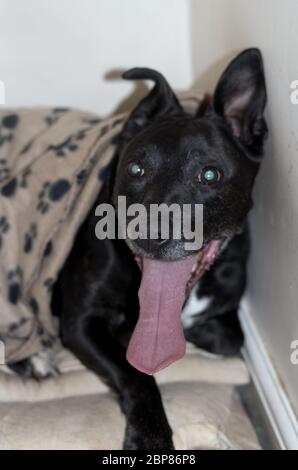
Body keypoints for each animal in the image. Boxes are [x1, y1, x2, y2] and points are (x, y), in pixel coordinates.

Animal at [15, 47, 268, 448]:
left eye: (209, 175)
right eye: (135, 169)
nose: (150, 233)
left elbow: (230, 337)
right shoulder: (80, 320)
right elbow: (134, 373)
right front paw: (151, 433)